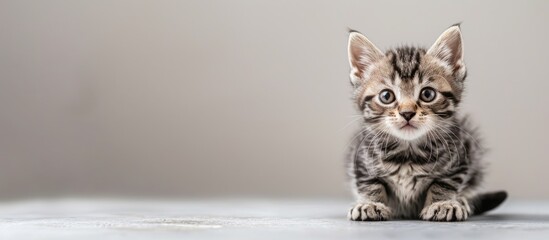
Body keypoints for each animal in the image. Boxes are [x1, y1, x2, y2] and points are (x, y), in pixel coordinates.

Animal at [346, 24, 506, 221]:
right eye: (386, 96)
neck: (407, 154)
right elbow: (370, 183)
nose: (407, 113)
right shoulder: (361, 158)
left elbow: (444, 183)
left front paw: (443, 203)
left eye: (427, 94)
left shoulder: (462, 155)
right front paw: (370, 203)